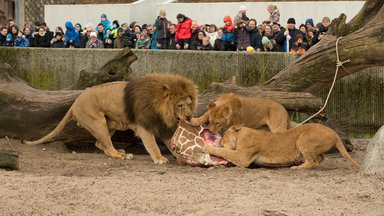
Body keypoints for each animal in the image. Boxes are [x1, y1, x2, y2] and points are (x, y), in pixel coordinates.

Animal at [23, 73, 198, 163]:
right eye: (180, 105)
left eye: (189, 104)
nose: (189, 116)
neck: (163, 109)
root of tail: (75, 102)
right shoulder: (144, 125)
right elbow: (152, 144)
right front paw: (159, 158)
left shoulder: (162, 126)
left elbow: (171, 143)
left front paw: (182, 157)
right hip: (97, 121)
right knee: (106, 145)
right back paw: (122, 155)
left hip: (110, 125)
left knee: (100, 144)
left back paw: (118, 150)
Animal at [202, 123, 362, 169]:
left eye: (224, 135)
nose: (220, 141)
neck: (242, 133)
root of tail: (334, 132)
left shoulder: (242, 157)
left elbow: (223, 151)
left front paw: (206, 147)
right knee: (320, 158)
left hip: (302, 139)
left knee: (314, 162)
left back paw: (297, 167)